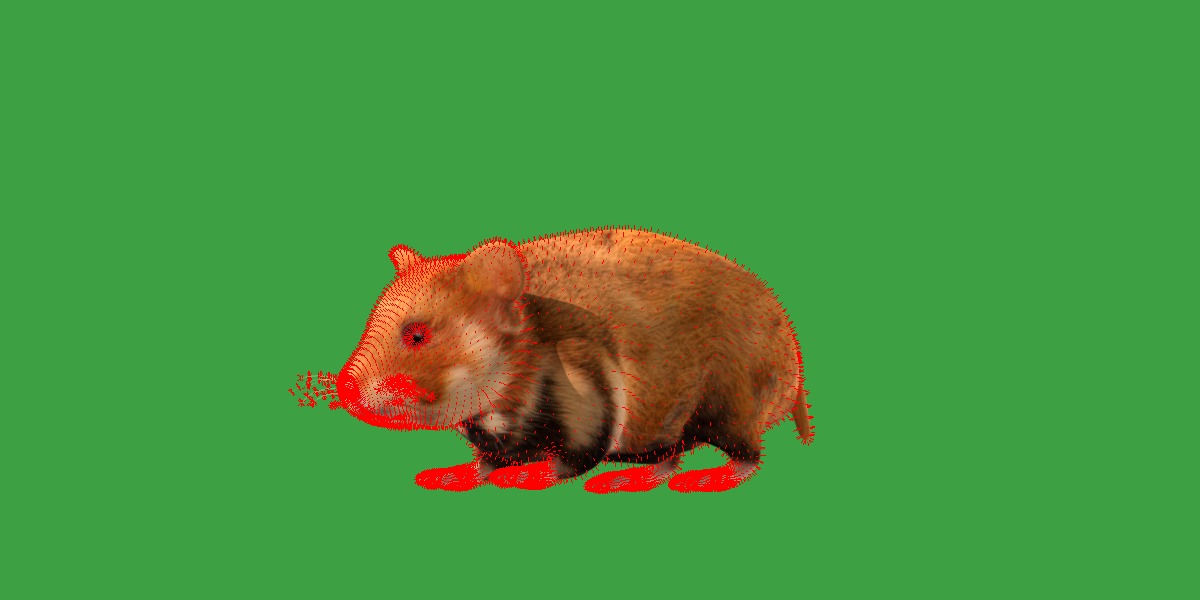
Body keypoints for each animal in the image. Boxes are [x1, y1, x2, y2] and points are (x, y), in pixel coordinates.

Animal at [332, 226, 813, 493]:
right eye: (373, 318)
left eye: (417, 335)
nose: (345, 391)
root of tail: (793, 357)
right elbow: (486, 462)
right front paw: (458, 472)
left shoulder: (588, 393)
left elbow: (573, 457)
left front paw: (527, 475)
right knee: (667, 459)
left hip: (725, 409)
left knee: (744, 458)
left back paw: (698, 477)